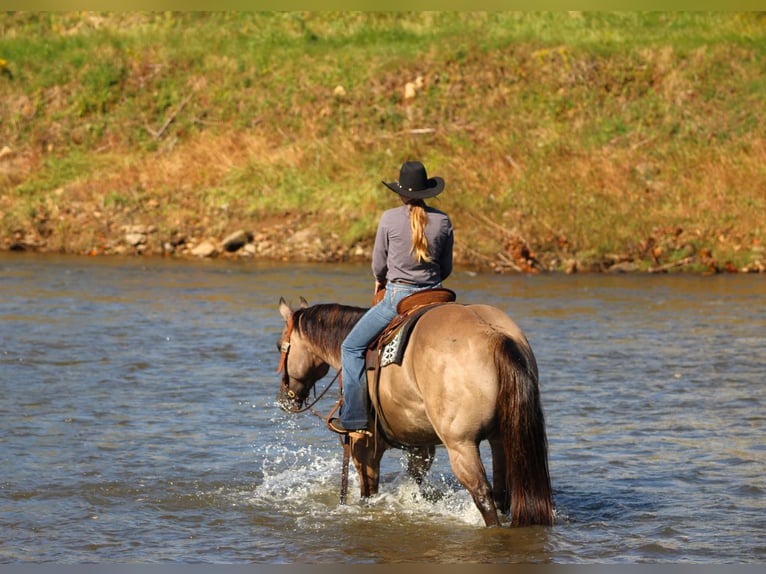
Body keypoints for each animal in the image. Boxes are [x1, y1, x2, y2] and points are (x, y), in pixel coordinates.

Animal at [275, 295, 554, 527]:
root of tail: (494, 335)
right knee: (501, 494)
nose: (284, 399)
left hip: (461, 445)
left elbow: (367, 491)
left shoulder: (363, 446)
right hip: (500, 440)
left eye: (280, 346)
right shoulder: (420, 446)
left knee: (483, 495)